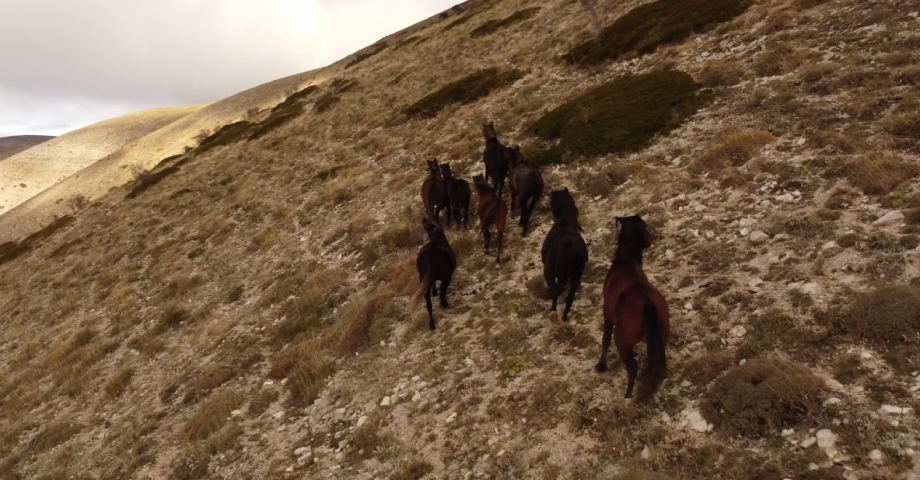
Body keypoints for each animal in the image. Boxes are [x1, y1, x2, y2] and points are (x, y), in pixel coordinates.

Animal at [540, 188, 588, 322]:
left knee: (555, 290)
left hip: (553, 272)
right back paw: (564, 318)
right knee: (569, 297)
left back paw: (554, 313)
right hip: (576, 275)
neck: (564, 223)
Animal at [596, 216, 668, 404]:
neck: (625, 261)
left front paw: (601, 365)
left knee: (633, 368)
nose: (651, 239)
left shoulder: (607, 314)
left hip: (622, 340)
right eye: (645, 226)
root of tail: (647, 303)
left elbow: (605, 339)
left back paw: (628, 395)